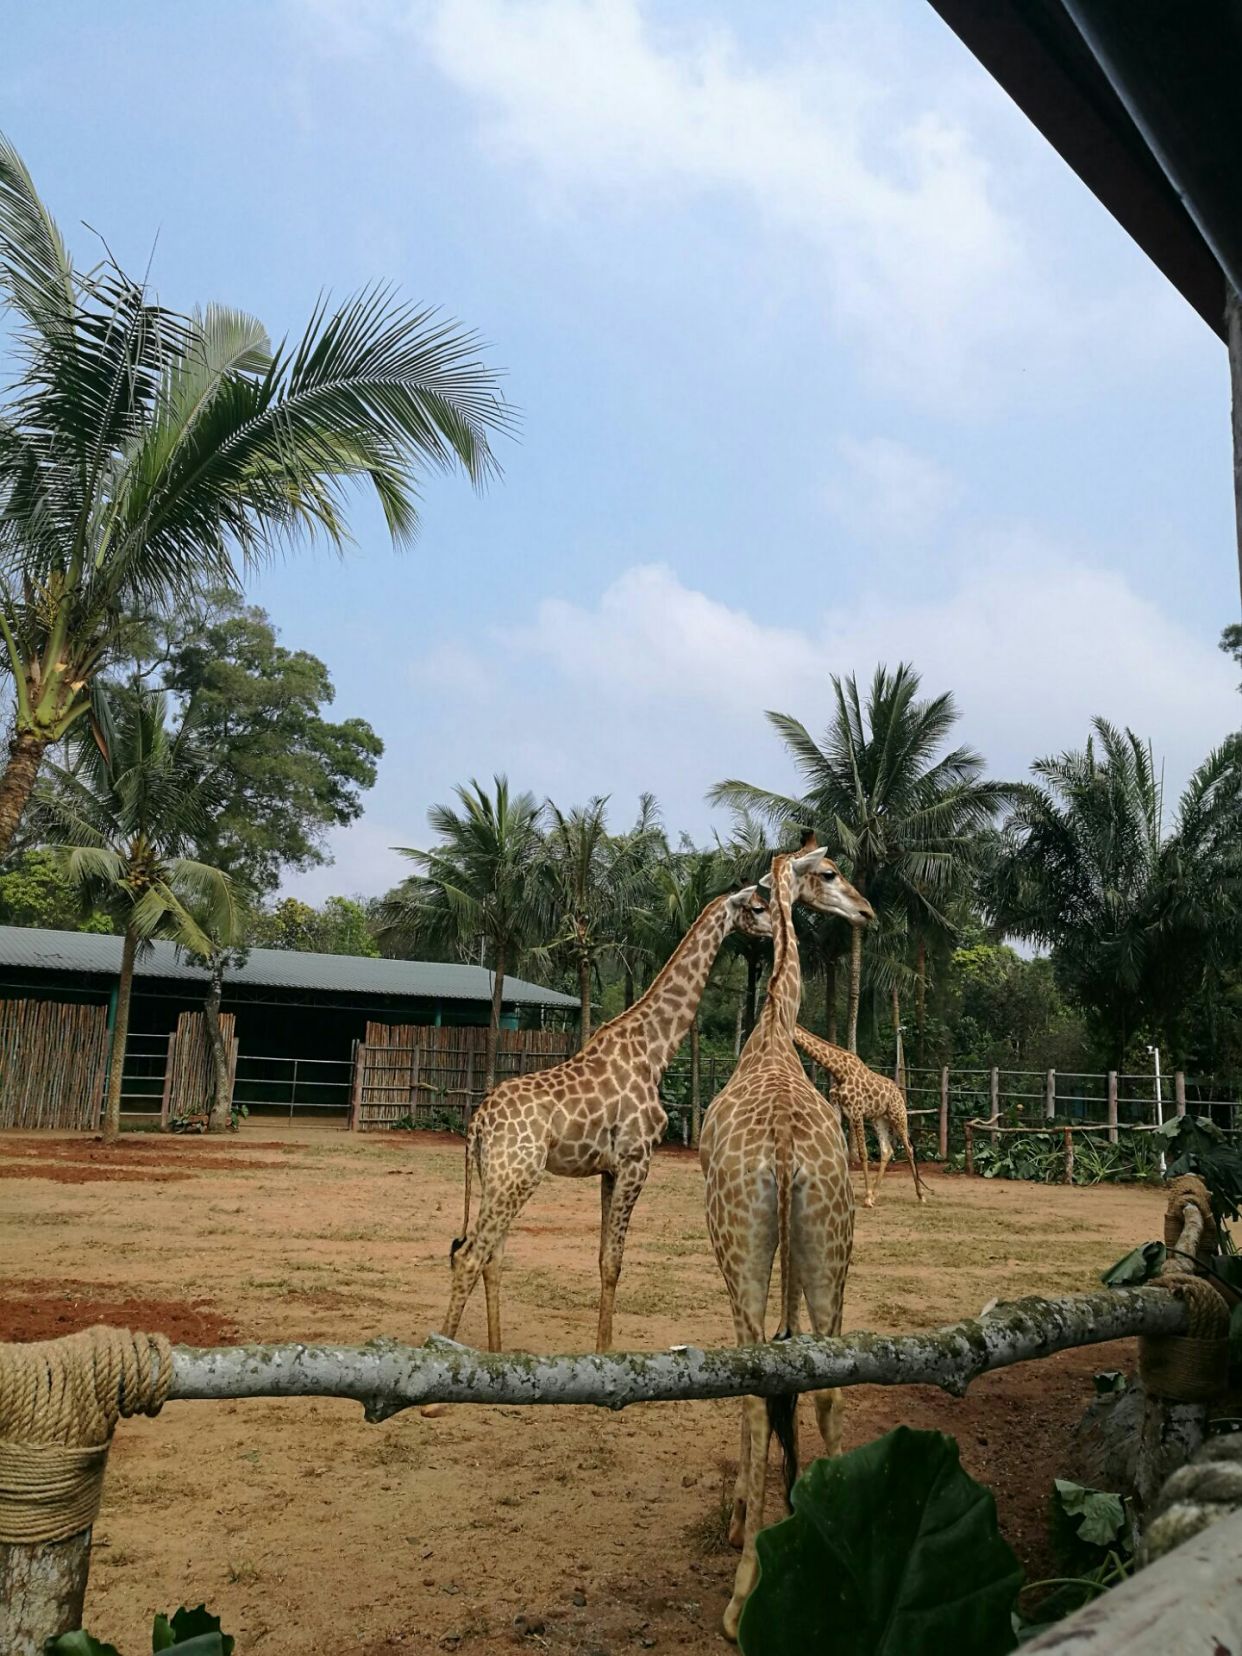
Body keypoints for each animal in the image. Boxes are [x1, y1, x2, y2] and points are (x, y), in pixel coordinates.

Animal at [433, 847, 861, 1364]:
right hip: (516, 1175)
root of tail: (477, 1124)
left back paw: (496, 1352)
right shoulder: (638, 1159)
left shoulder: (609, 1168)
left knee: (489, 1254)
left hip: (495, 1175)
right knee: (470, 1254)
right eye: (757, 907)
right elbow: (615, 1262)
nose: (779, 930)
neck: (654, 1050)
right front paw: (606, 1351)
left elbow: (603, 1259)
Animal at [791, 1020, 927, 1205]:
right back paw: (876, 1194)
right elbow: (842, 1150)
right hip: (879, 1119)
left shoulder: (856, 1111)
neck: (838, 1070)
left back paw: (920, 1195)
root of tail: (899, 1092)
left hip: (898, 1116)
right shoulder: (837, 1109)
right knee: (887, 1149)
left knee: (909, 1148)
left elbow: (863, 1153)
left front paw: (867, 1196)